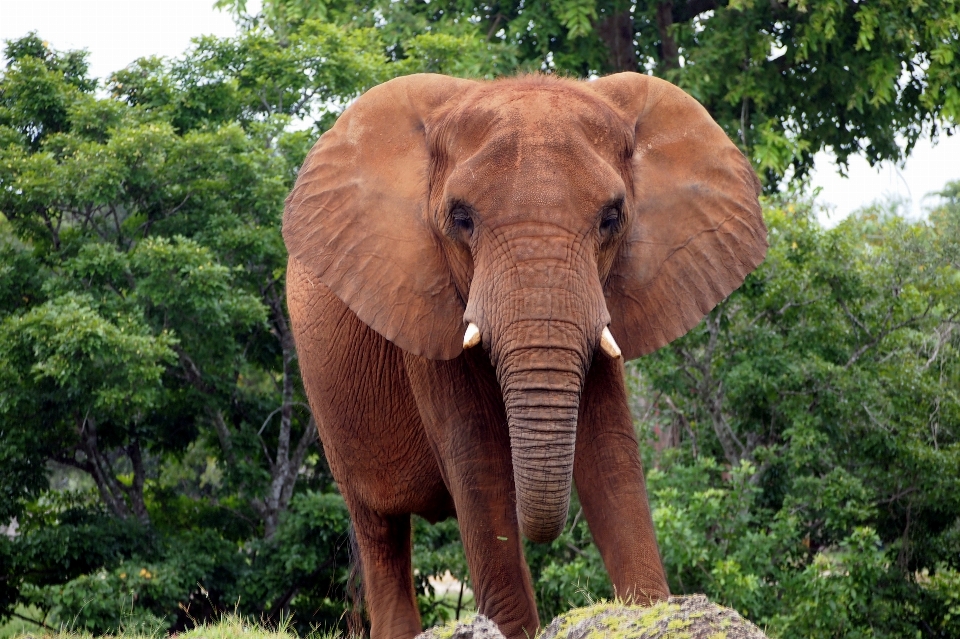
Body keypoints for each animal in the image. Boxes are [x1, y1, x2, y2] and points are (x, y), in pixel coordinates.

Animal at [282, 72, 768, 639]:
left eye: (612, 218)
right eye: (460, 218)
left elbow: (611, 452)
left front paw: (652, 613)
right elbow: (478, 460)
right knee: (380, 530)